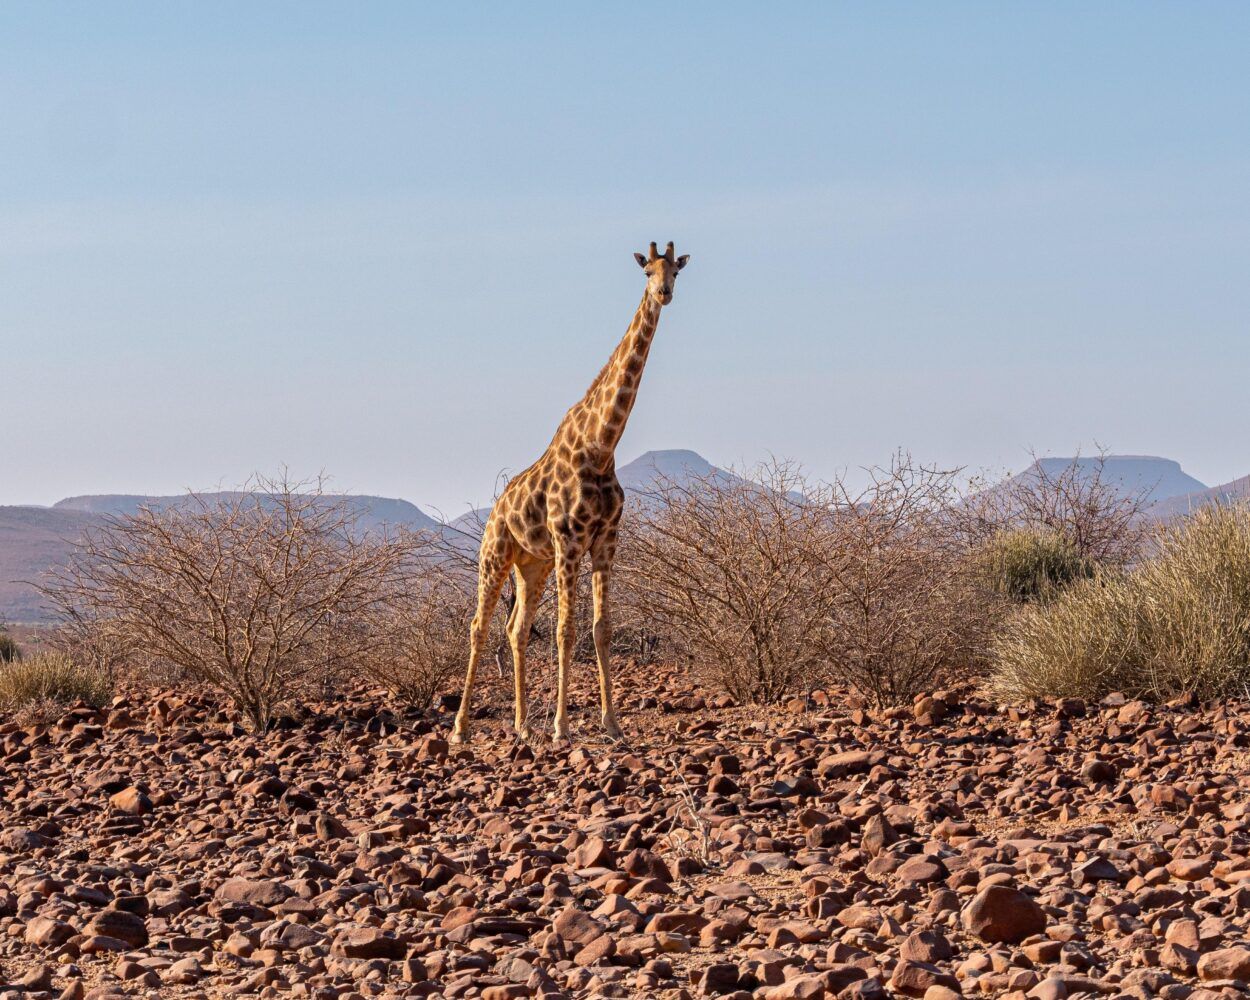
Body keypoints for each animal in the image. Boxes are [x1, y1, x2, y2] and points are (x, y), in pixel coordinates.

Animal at [450, 241, 690, 744]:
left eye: (676, 271)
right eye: (647, 271)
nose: (664, 294)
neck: (601, 446)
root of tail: (496, 510)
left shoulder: (605, 541)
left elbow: (600, 629)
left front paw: (612, 724)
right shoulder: (569, 541)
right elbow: (565, 630)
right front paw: (562, 727)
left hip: (532, 565)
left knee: (516, 628)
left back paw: (522, 724)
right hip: (495, 554)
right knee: (480, 626)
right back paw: (461, 728)